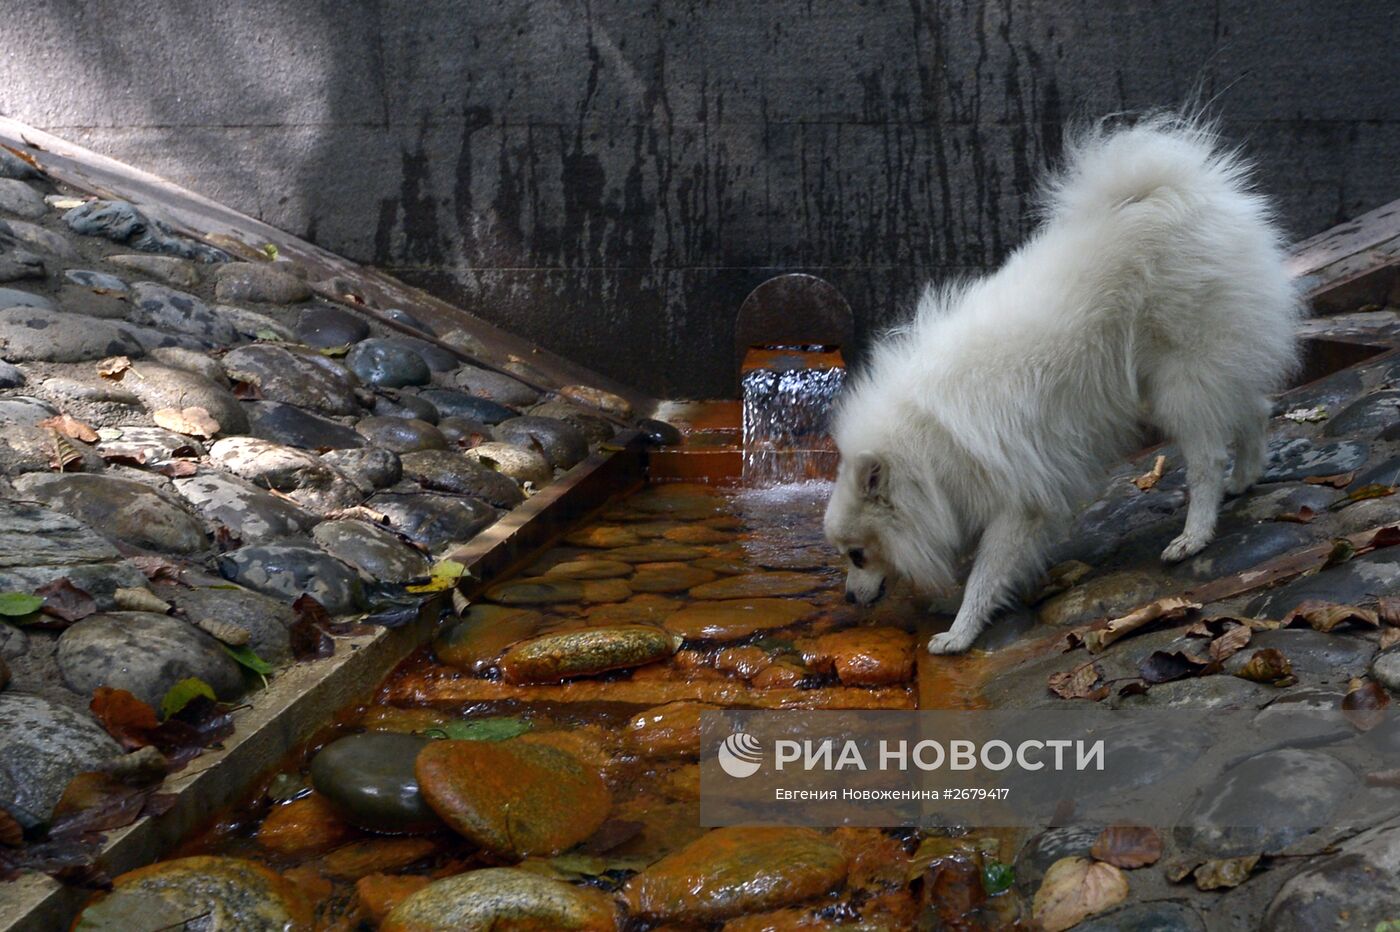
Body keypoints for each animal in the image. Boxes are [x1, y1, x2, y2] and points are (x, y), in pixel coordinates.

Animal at [823, 114, 1304, 652]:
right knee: (1255, 408)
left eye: (857, 554)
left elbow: (987, 571)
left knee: (1206, 458)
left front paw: (959, 632)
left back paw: (1194, 534)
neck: (922, 452)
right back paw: (1245, 478)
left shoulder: (1017, 498)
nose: (849, 598)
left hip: (1180, 378)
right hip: (1201, 366)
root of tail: (1173, 191)